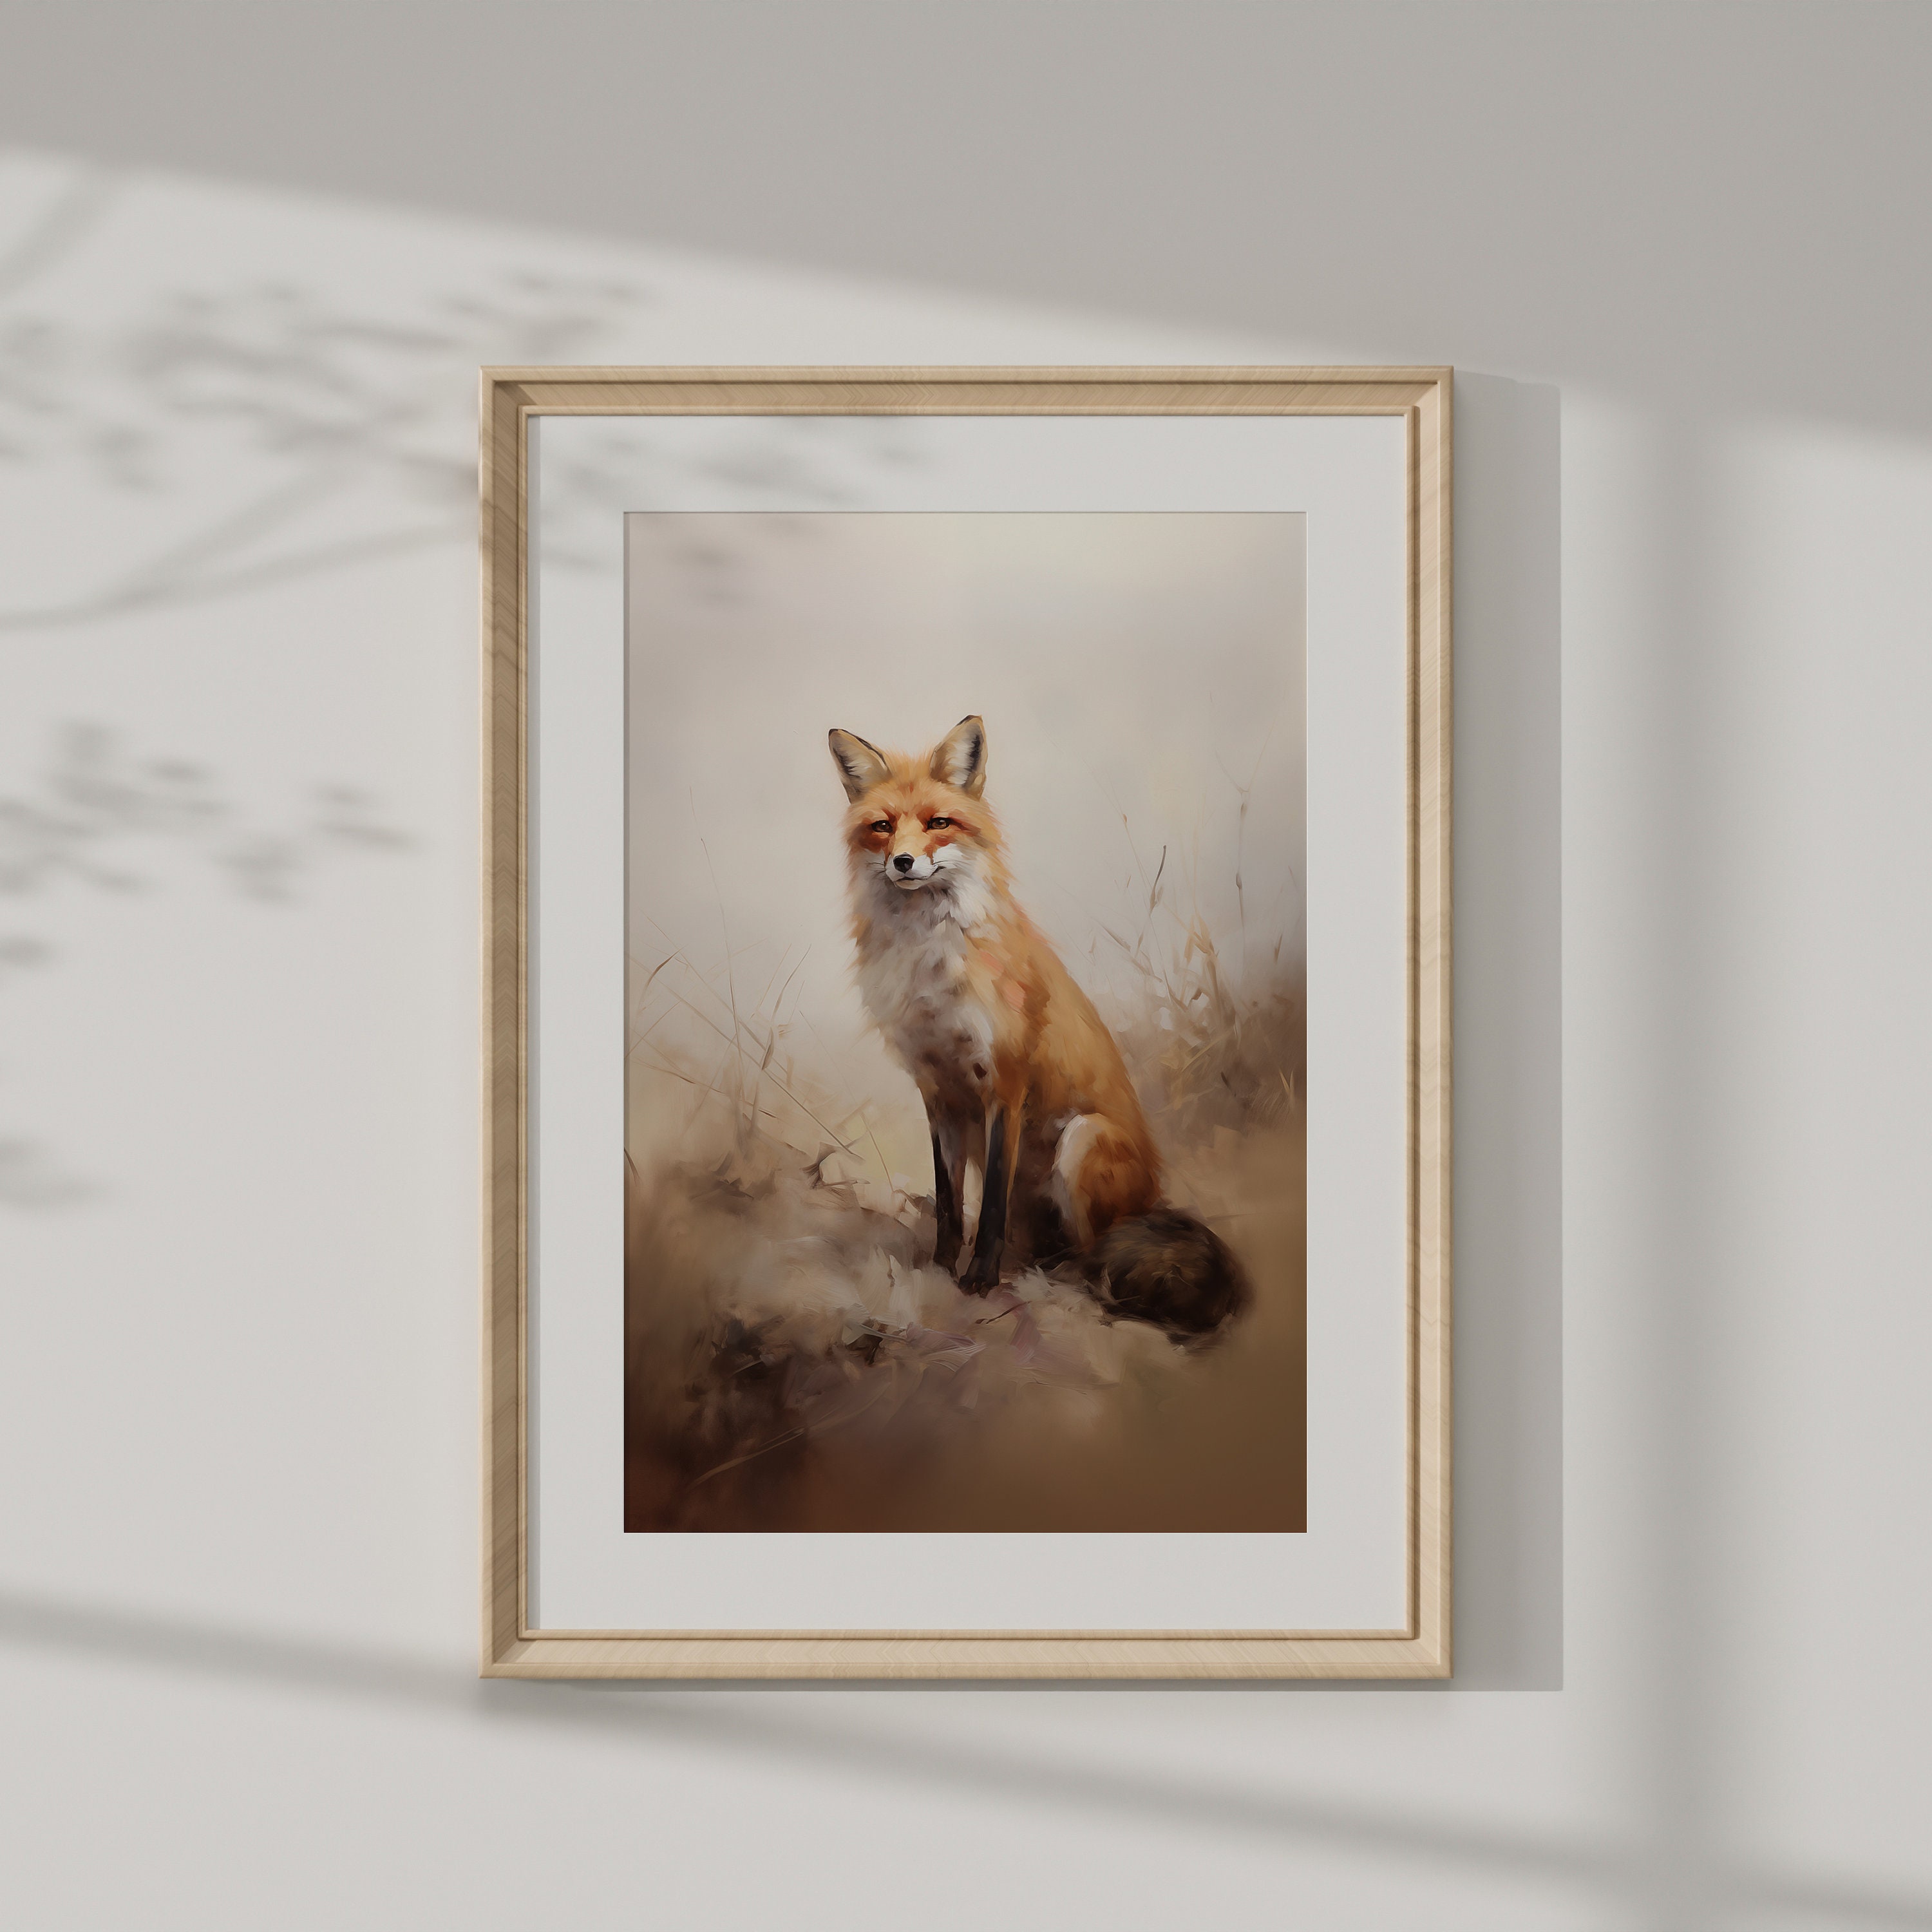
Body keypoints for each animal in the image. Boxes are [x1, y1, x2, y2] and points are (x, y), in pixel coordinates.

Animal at [828, 714, 1248, 1340]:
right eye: (882, 828)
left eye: (938, 824)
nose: (902, 863)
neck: (929, 961)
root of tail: (1151, 1202)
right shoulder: (938, 1090)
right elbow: (950, 1203)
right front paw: (939, 1267)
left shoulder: (1004, 1082)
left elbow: (990, 1207)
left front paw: (979, 1279)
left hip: (1082, 1141)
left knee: (1093, 1254)